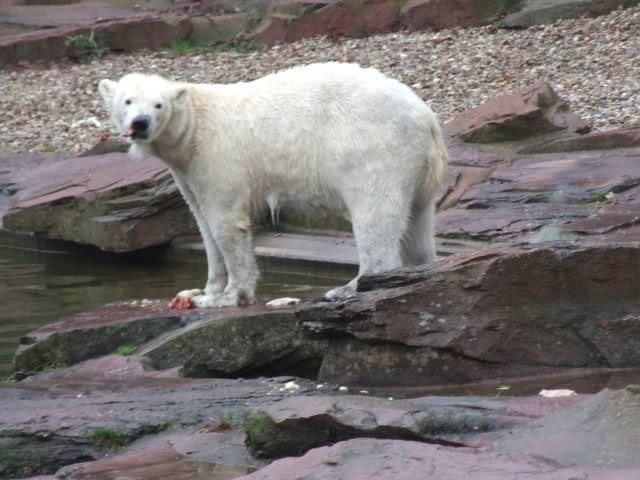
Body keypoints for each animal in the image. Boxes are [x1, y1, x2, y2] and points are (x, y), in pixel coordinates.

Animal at [98, 62, 449, 308]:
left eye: (158, 105)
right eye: (127, 101)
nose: (139, 123)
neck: (194, 127)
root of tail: (427, 116)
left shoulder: (217, 157)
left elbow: (226, 223)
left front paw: (229, 296)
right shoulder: (186, 171)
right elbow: (202, 223)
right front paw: (203, 290)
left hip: (373, 147)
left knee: (375, 213)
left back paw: (349, 288)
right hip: (418, 166)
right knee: (417, 222)